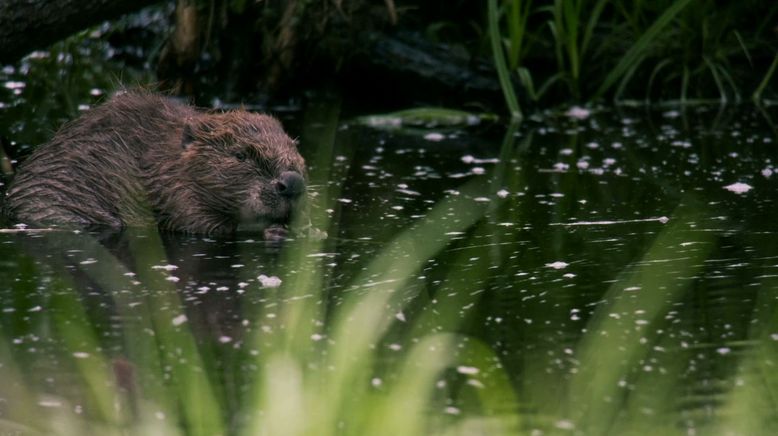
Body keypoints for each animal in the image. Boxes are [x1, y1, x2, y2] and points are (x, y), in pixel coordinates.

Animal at [3, 91, 306, 238]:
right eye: (241, 155)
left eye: (294, 145)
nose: (292, 183)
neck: (164, 161)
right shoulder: (175, 194)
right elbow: (205, 227)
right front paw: (274, 230)